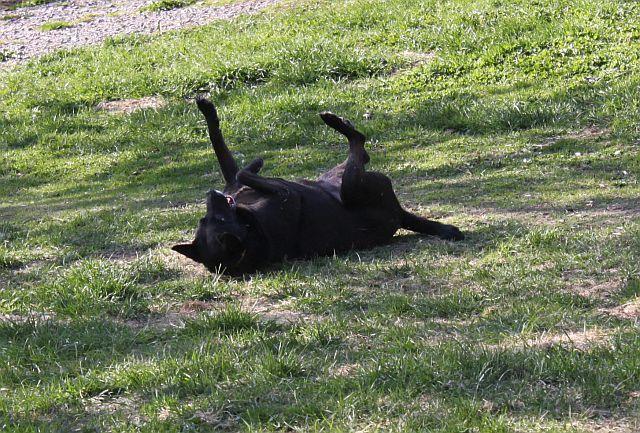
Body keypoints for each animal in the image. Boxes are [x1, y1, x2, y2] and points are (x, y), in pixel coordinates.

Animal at [172, 97, 464, 274]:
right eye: (218, 219)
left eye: (206, 219)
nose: (212, 193)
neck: (249, 227)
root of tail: (400, 215)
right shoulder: (285, 193)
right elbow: (244, 172)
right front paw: (256, 163)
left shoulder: (233, 182)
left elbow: (225, 152)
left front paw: (206, 108)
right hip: (352, 186)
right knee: (359, 145)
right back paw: (336, 122)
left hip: (335, 176)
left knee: (360, 149)